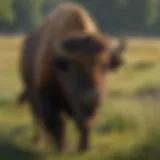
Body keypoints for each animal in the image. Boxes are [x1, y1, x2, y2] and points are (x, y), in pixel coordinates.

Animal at [16, 1, 127, 153]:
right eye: (74, 67)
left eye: (105, 65)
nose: (93, 96)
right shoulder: (47, 97)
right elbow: (58, 123)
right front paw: (62, 148)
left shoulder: (84, 108)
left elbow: (83, 124)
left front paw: (84, 148)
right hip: (31, 93)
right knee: (38, 118)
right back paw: (38, 141)